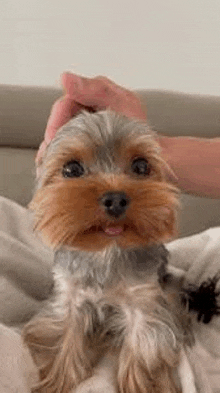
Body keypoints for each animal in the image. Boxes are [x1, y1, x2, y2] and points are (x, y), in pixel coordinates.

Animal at [21, 110, 207, 392]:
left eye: (141, 166)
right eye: (71, 169)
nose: (116, 199)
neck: (106, 250)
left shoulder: (142, 302)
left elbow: (142, 348)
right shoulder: (69, 296)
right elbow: (64, 336)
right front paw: (57, 382)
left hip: (172, 284)